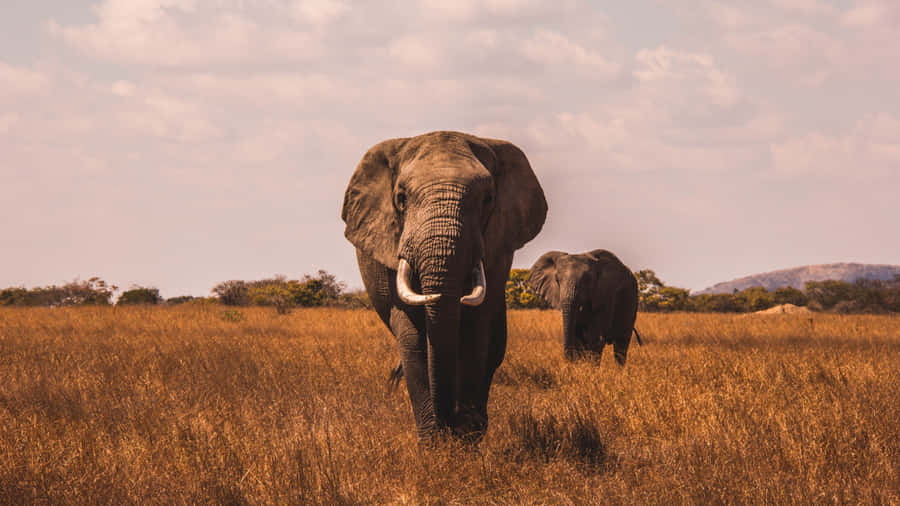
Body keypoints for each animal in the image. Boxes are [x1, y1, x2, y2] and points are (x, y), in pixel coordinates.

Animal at [341, 131, 547, 442]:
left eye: (488, 199)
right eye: (401, 198)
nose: (452, 421)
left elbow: (476, 331)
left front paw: (466, 437)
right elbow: (413, 336)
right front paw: (434, 443)